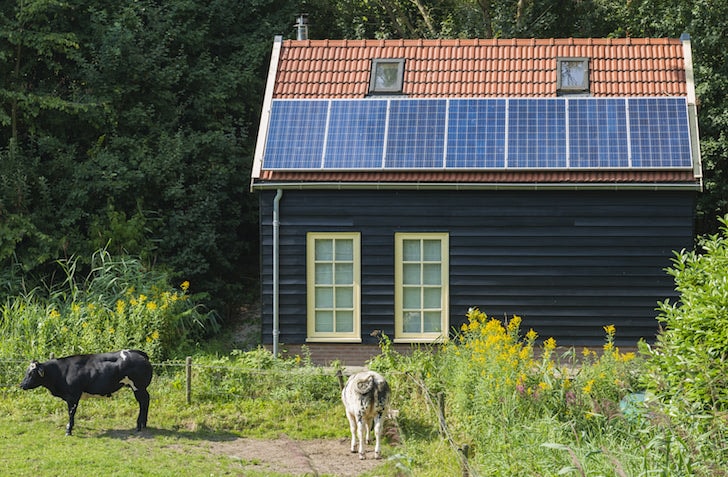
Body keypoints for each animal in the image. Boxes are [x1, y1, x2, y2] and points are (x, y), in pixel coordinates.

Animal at [21, 348, 152, 434]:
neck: (61, 372)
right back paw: (143, 424)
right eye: (26, 371)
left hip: (139, 387)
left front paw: (69, 429)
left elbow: (71, 413)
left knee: (143, 402)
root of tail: (138, 352)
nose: (21, 385)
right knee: (145, 402)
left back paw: (139, 425)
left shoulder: (72, 396)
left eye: (32, 373)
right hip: (140, 388)